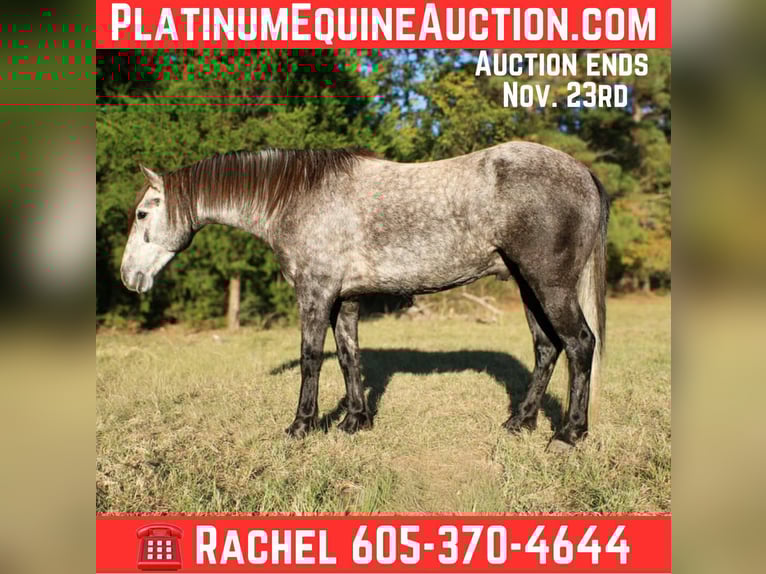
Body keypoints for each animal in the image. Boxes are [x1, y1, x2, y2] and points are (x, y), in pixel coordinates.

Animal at [120, 142, 609, 451]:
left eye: (143, 213)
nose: (128, 277)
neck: (299, 199)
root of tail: (583, 172)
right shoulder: (346, 298)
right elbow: (348, 355)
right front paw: (356, 421)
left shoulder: (316, 292)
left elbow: (311, 358)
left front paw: (302, 426)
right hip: (529, 287)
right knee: (547, 348)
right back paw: (520, 422)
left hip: (550, 285)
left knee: (580, 344)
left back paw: (569, 434)